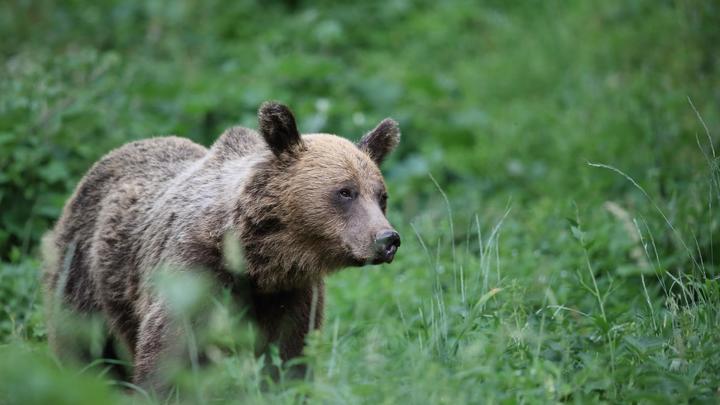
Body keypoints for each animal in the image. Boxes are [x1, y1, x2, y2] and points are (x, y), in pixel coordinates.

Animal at [43, 102, 402, 392]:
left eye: (381, 195)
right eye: (345, 192)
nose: (387, 240)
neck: (257, 260)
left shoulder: (291, 293)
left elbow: (288, 354)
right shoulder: (193, 270)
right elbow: (169, 351)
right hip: (86, 270)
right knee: (83, 344)